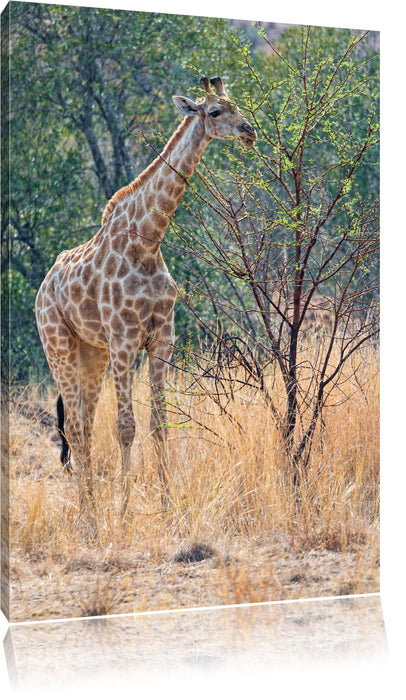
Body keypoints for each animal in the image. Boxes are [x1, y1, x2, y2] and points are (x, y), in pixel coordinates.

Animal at [35, 76, 257, 520]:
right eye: (215, 112)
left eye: (237, 105)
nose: (249, 132)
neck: (149, 241)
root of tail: (43, 286)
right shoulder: (124, 340)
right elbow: (126, 427)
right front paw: (123, 512)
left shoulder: (161, 340)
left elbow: (159, 424)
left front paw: (169, 506)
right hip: (59, 345)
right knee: (73, 427)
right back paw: (90, 517)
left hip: (92, 352)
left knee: (83, 425)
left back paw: (91, 509)